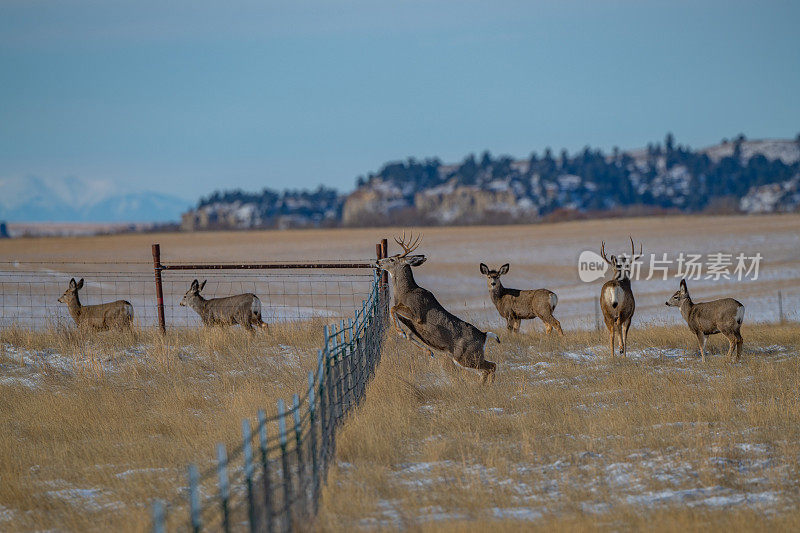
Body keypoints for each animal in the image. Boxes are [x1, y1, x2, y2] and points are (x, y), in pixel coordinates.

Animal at [376, 233, 500, 382]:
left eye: (392, 259)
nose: (378, 262)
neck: (405, 293)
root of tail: (484, 336)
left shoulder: (417, 313)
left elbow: (393, 309)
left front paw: (400, 332)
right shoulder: (413, 326)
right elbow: (409, 336)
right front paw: (429, 351)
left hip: (465, 355)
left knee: (491, 366)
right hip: (468, 357)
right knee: (485, 370)